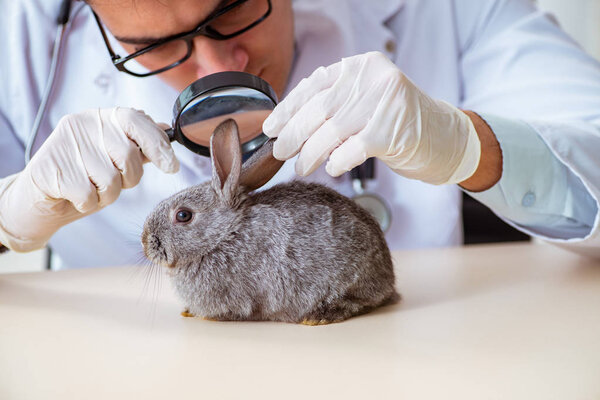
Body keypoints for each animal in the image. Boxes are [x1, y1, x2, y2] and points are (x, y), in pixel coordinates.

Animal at [142, 119, 398, 324]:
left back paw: (318, 317)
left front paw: (202, 315)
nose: (146, 243)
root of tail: (388, 279)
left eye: (183, 215)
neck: (223, 236)